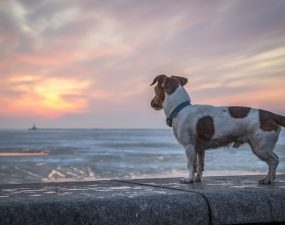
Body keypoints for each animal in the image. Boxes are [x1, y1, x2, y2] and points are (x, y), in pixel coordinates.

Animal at [150, 74, 282, 185]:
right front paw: (197, 179)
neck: (180, 108)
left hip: (260, 148)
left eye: (155, 90)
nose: (151, 103)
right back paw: (271, 178)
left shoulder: (189, 146)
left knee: (274, 161)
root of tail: (270, 115)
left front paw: (189, 179)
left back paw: (267, 179)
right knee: (275, 159)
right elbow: (199, 165)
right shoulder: (199, 149)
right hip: (263, 147)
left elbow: (190, 165)